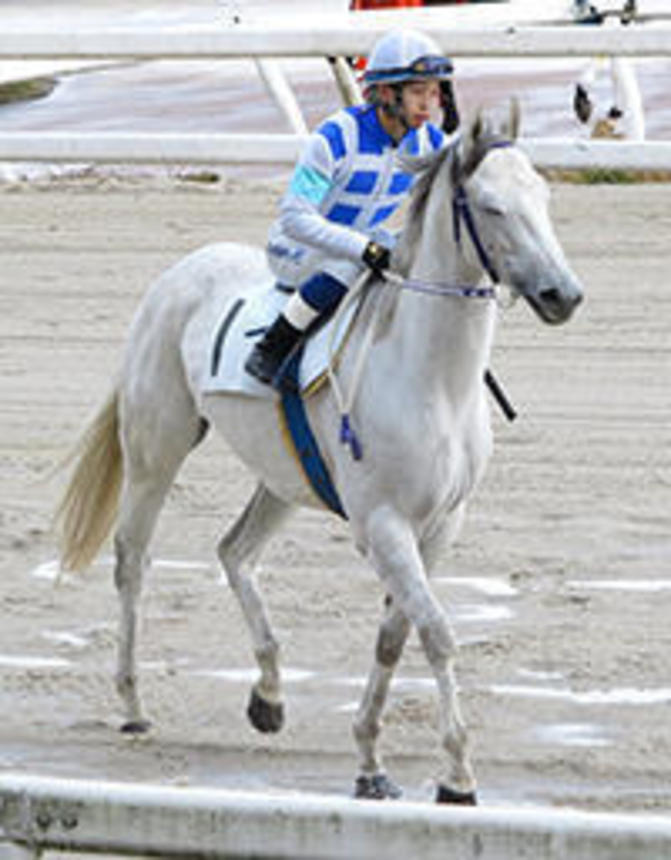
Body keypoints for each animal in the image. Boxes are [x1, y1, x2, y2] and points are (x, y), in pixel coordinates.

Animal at [56, 109, 584, 808]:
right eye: (493, 206)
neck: (432, 380)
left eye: (545, 196)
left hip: (281, 479)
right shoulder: (383, 523)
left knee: (234, 551)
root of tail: (180, 272)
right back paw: (134, 703)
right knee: (132, 562)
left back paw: (269, 695)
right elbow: (437, 632)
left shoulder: (442, 524)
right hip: (155, 450)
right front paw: (456, 775)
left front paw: (370, 758)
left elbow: (395, 637)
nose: (563, 294)